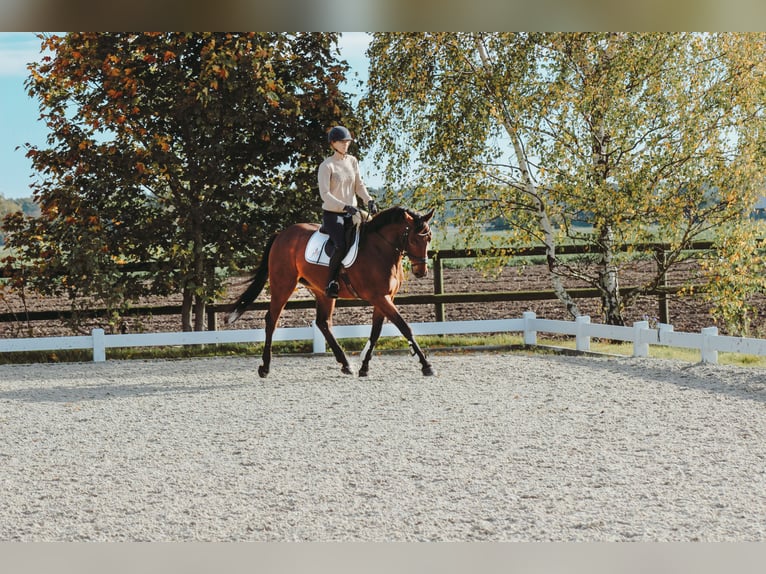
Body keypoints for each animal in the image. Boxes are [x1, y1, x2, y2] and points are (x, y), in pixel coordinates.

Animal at [225, 206, 436, 378]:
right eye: (414, 239)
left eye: (429, 238)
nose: (421, 272)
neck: (380, 249)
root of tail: (282, 234)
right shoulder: (379, 297)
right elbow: (404, 327)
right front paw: (426, 365)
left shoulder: (385, 297)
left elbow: (376, 332)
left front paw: (364, 368)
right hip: (282, 285)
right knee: (271, 320)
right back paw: (265, 367)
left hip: (320, 291)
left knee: (323, 322)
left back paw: (346, 364)